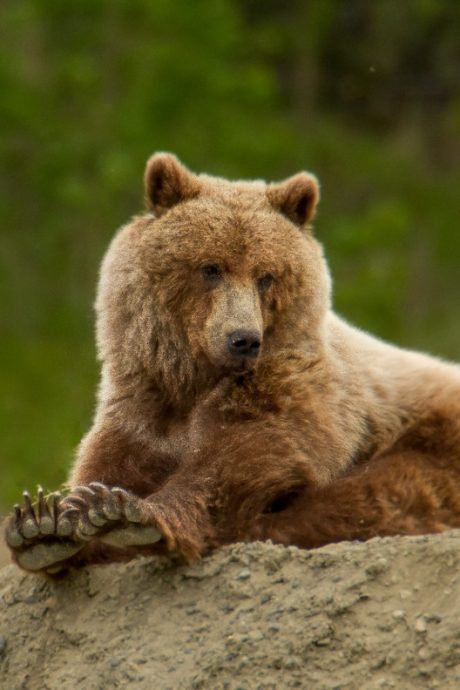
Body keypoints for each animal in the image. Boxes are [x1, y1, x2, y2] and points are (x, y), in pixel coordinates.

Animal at [5, 153, 460, 574]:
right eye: (210, 267)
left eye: (266, 275)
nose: (244, 340)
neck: (192, 379)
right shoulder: (143, 403)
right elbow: (110, 461)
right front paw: (43, 525)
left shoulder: (295, 392)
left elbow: (240, 456)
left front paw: (127, 514)